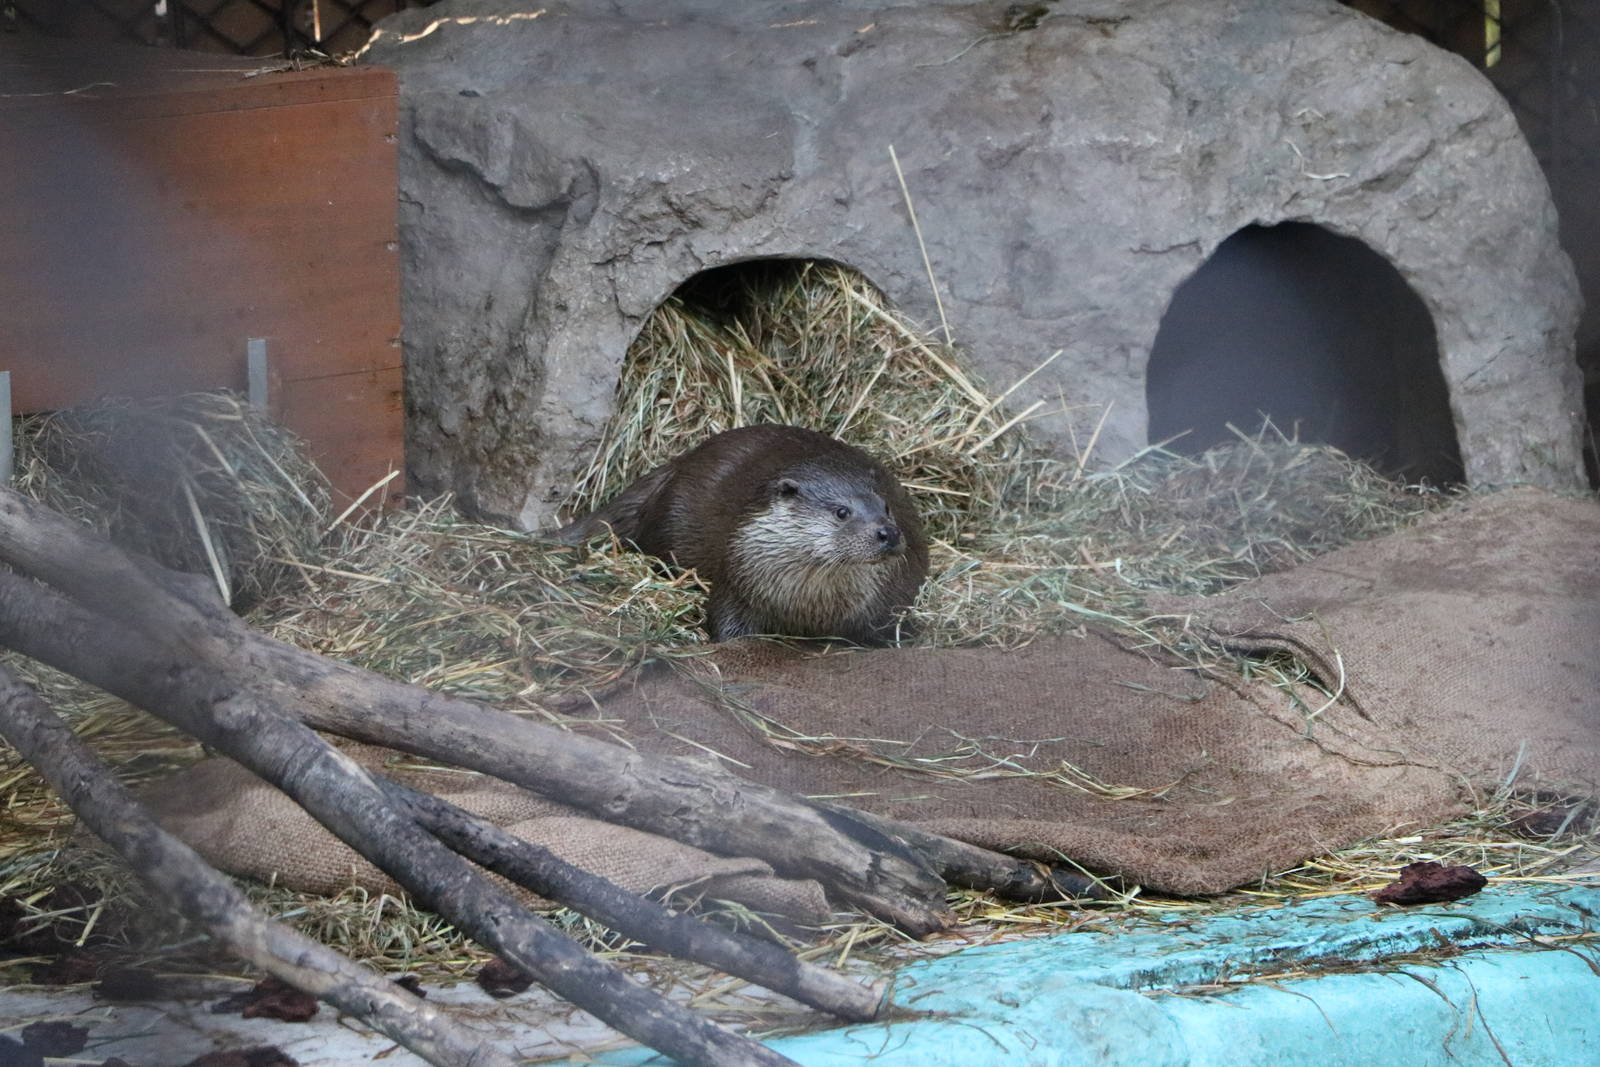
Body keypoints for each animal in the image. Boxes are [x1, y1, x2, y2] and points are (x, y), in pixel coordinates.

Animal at [552, 425, 928, 644]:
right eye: (841, 512)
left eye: (886, 507)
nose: (888, 533)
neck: (813, 610)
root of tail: (677, 464)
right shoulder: (737, 580)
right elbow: (729, 629)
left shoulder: (886, 606)